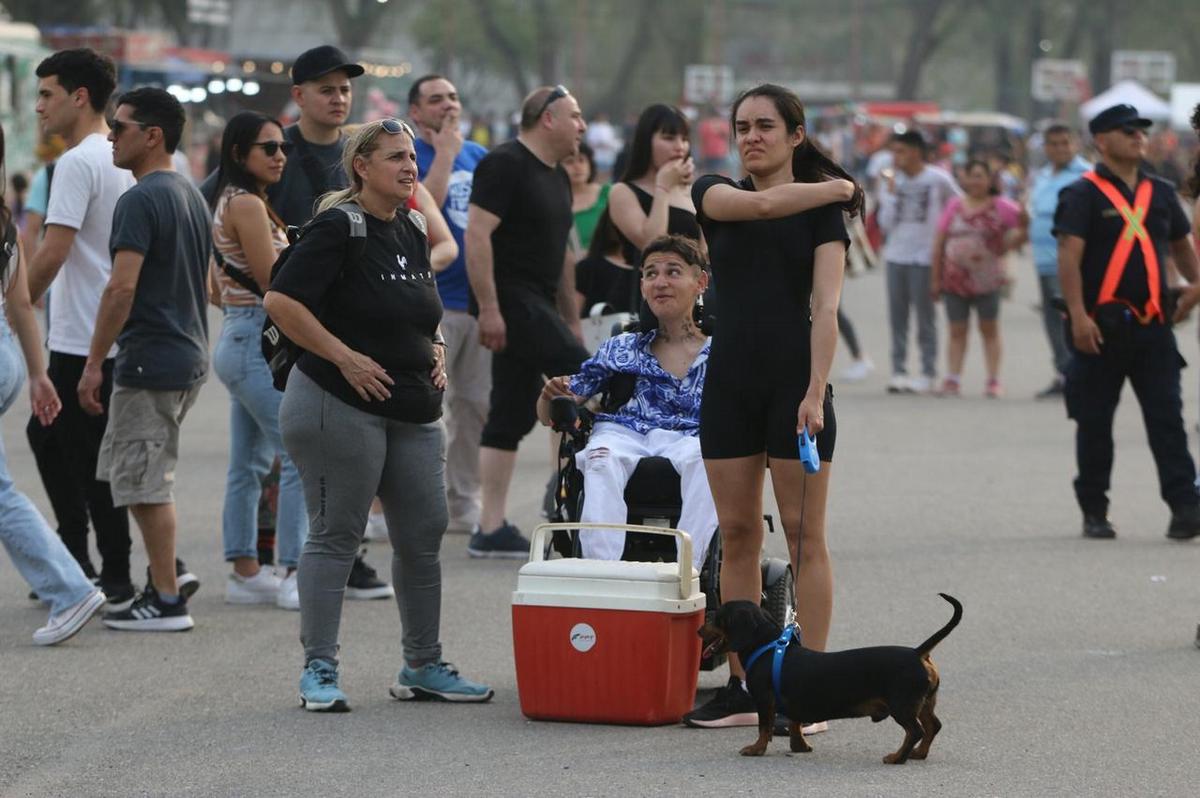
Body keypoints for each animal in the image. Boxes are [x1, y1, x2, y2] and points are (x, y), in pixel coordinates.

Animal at [700, 595, 960, 763]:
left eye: (718, 617)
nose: (698, 630)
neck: (768, 646)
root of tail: (917, 653)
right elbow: (795, 723)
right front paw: (800, 746)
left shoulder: (764, 700)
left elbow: (764, 727)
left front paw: (756, 749)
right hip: (924, 703)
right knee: (933, 726)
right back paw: (918, 754)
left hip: (902, 706)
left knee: (915, 731)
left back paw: (897, 757)